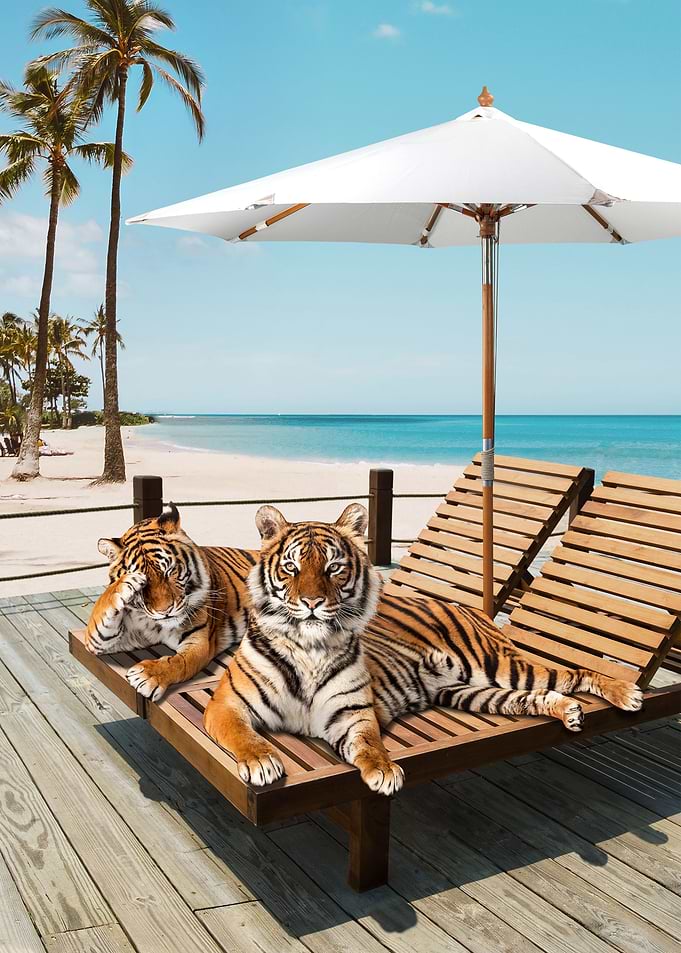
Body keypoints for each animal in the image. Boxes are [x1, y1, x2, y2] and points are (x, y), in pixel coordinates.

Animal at [86, 503, 256, 701]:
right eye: (144, 584)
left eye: (168, 571)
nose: (165, 611)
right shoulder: (113, 638)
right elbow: (102, 612)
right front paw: (127, 581)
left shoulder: (199, 641)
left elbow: (178, 663)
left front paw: (147, 675)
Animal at [203, 503, 644, 795]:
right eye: (291, 567)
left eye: (334, 568)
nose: (312, 602)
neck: (309, 648)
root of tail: (471, 608)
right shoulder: (227, 704)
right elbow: (244, 736)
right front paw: (262, 762)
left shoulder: (352, 712)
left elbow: (369, 743)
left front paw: (384, 771)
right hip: (470, 692)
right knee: (533, 697)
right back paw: (567, 710)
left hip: (498, 666)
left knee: (572, 673)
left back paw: (626, 693)